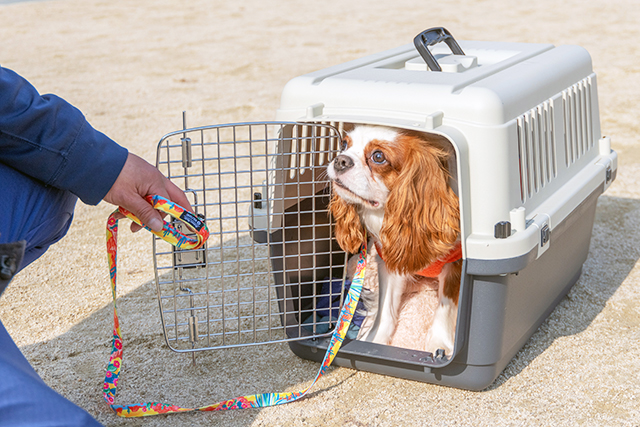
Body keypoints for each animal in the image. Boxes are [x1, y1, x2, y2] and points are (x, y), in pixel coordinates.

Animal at [330, 126, 460, 358]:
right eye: (344, 144)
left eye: (378, 157)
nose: (340, 160)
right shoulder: (389, 262)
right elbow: (385, 309)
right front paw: (374, 339)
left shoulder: (457, 262)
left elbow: (446, 308)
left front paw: (440, 345)